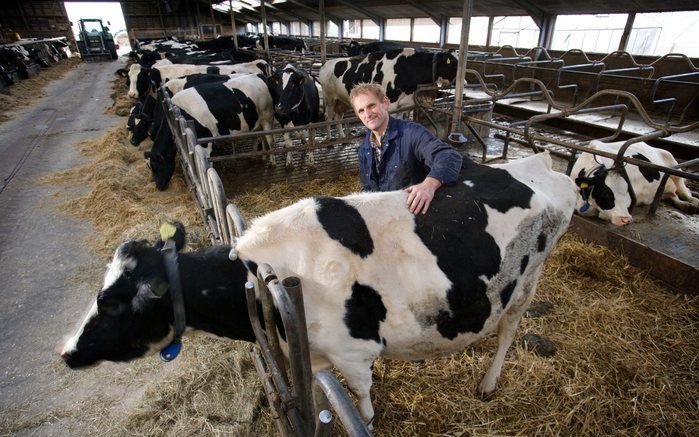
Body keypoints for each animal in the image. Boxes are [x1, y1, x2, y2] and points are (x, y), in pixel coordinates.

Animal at [322, 48, 460, 132]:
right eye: (453, 64)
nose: (463, 81)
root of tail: (326, 63)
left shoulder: (404, 105)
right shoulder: (391, 105)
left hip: (342, 101)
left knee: (338, 117)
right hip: (329, 98)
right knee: (328, 118)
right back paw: (330, 141)